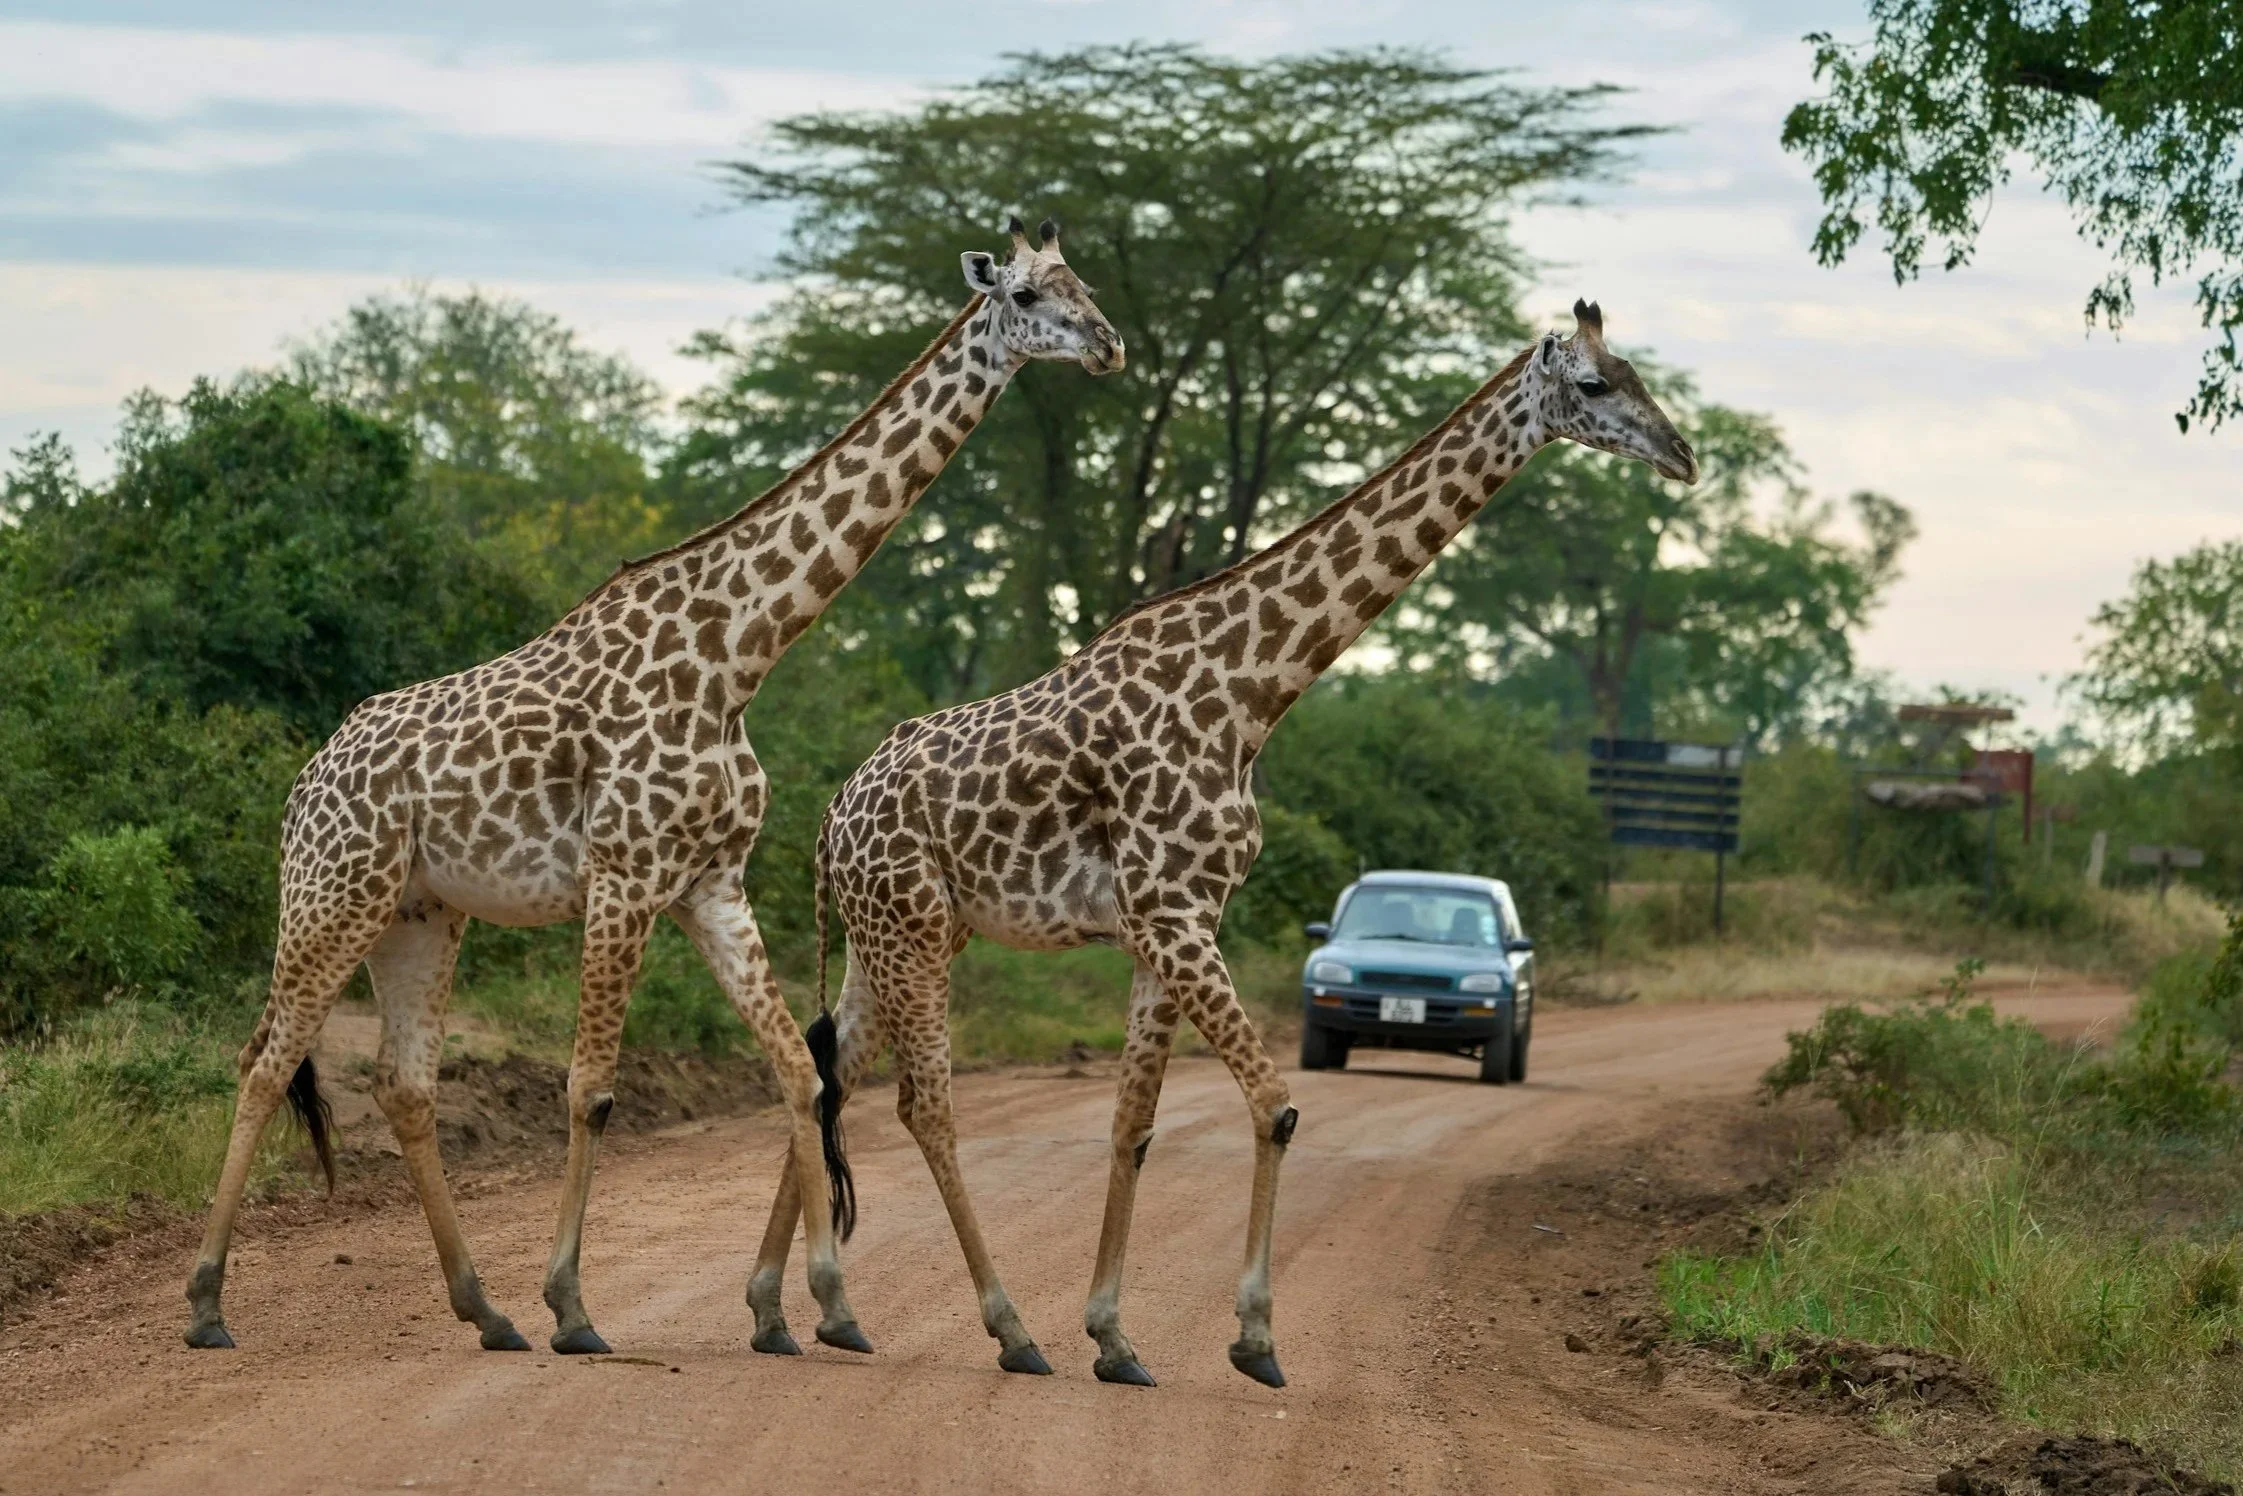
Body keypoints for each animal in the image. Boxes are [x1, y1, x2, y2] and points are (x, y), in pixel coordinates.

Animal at [181, 218, 1123, 1357]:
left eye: (1084, 282)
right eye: (1027, 294)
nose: (1109, 345)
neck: (738, 654)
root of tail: (301, 783)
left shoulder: (709, 882)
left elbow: (797, 1071)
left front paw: (820, 1309)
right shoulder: (624, 875)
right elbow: (589, 1087)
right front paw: (574, 1307)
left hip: (420, 911)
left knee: (401, 1084)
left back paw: (484, 1309)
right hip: (333, 895)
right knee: (263, 1060)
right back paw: (207, 1304)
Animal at [754, 300, 1697, 1387]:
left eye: (1636, 373)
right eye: (1592, 385)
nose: (1682, 455)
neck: (1252, 692)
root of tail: (831, 816)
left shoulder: (1172, 924)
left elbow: (1134, 1124)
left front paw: (1115, 1338)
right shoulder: (1174, 913)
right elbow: (1277, 1104)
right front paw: (1253, 1338)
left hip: (897, 932)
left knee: (831, 1071)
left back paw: (796, 1309)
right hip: (906, 929)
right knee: (922, 1104)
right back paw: (1005, 1328)